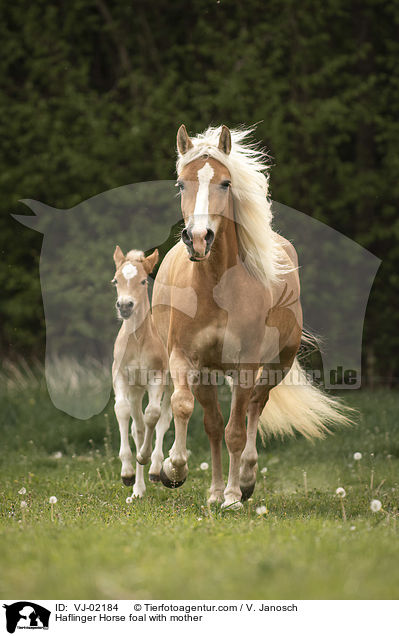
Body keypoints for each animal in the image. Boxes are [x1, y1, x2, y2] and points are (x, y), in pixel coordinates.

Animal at [152, 125, 352, 506]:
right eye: (181, 184)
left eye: (225, 183)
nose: (197, 238)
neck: (215, 285)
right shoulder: (184, 357)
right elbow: (185, 407)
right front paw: (174, 469)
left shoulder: (246, 365)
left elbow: (236, 430)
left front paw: (232, 495)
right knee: (212, 421)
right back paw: (211, 489)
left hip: (274, 366)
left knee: (254, 408)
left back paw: (242, 480)